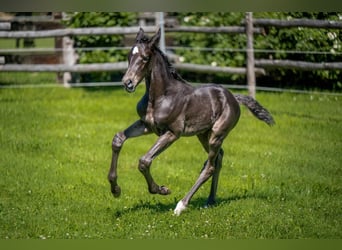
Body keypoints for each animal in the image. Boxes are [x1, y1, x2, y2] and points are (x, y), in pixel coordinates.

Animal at [108, 27, 274, 215]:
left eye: (145, 58)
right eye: (129, 56)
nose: (127, 83)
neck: (160, 96)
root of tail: (233, 97)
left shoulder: (172, 133)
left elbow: (144, 161)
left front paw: (162, 189)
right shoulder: (146, 126)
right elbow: (118, 139)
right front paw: (115, 189)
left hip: (217, 134)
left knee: (210, 166)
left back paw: (181, 205)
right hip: (203, 134)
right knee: (218, 159)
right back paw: (210, 200)